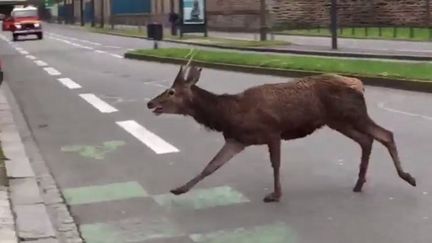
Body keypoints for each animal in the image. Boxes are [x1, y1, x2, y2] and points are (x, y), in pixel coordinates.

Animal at [147, 56, 416, 201]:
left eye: (171, 91)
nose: (150, 103)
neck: (229, 114)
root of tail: (360, 84)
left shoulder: (272, 132)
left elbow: (275, 164)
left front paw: (275, 195)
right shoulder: (237, 139)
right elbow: (211, 166)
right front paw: (179, 188)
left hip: (353, 115)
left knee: (385, 134)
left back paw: (408, 177)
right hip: (338, 121)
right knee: (366, 140)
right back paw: (359, 183)